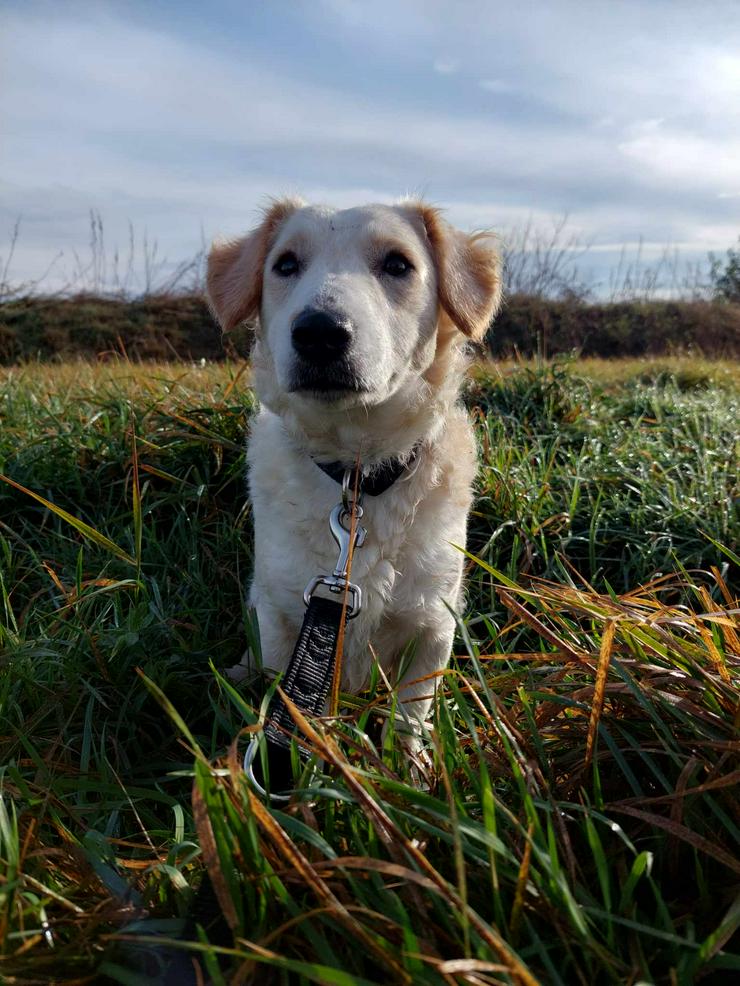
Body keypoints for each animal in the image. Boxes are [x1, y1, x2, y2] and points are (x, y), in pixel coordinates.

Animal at [205, 200, 500, 748]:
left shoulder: (432, 625)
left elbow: (410, 717)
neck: (357, 474)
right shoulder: (283, 616)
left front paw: (410, 761)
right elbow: (290, 705)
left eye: (398, 264)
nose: (319, 332)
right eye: (285, 264)